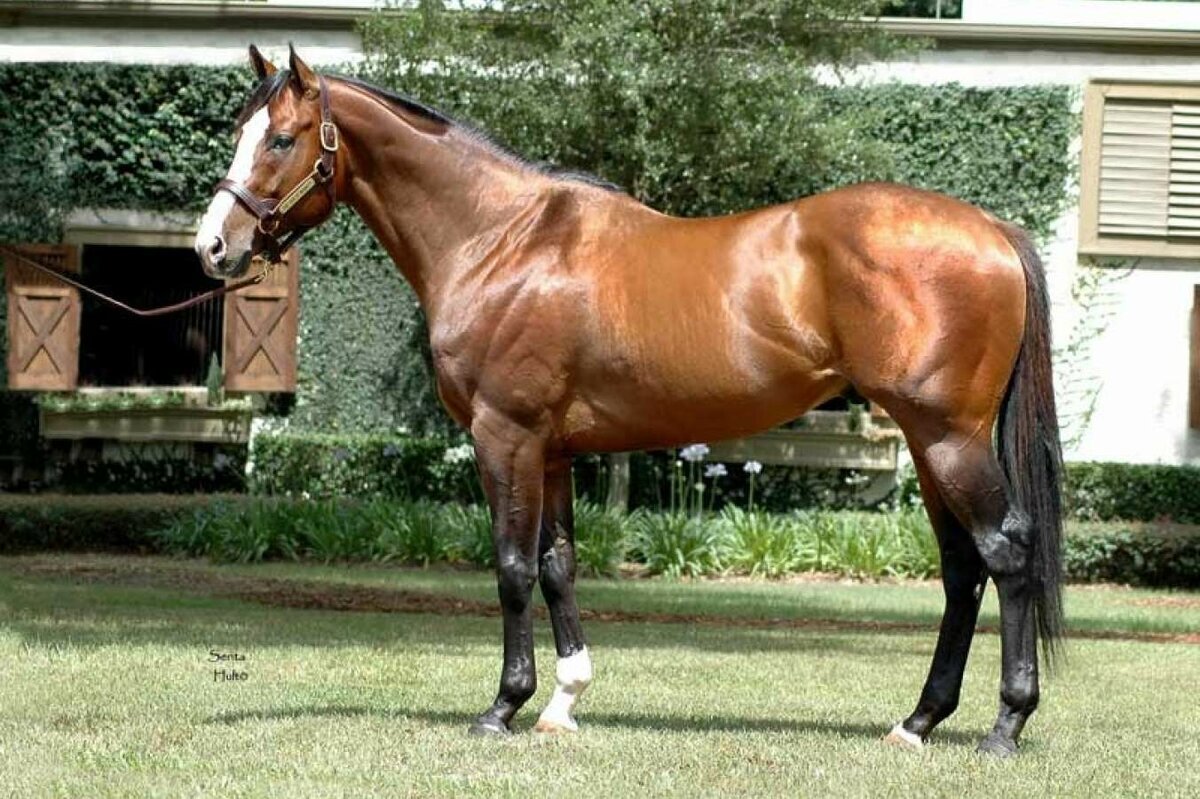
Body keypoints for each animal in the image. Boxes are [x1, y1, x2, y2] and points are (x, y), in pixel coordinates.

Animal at [195, 45, 1064, 757]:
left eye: (280, 139)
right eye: (241, 130)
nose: (213, 246)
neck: (500, 238)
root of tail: (991, 230)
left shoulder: (504, 435)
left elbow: (511, 564)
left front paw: (502, 707)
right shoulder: (550, 448)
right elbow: (557, 564)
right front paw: (562, 702)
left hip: (949, 438)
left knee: (1006, 552)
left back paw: (1006, 724)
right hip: (926, 441)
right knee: (962, 568)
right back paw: (918, 720)